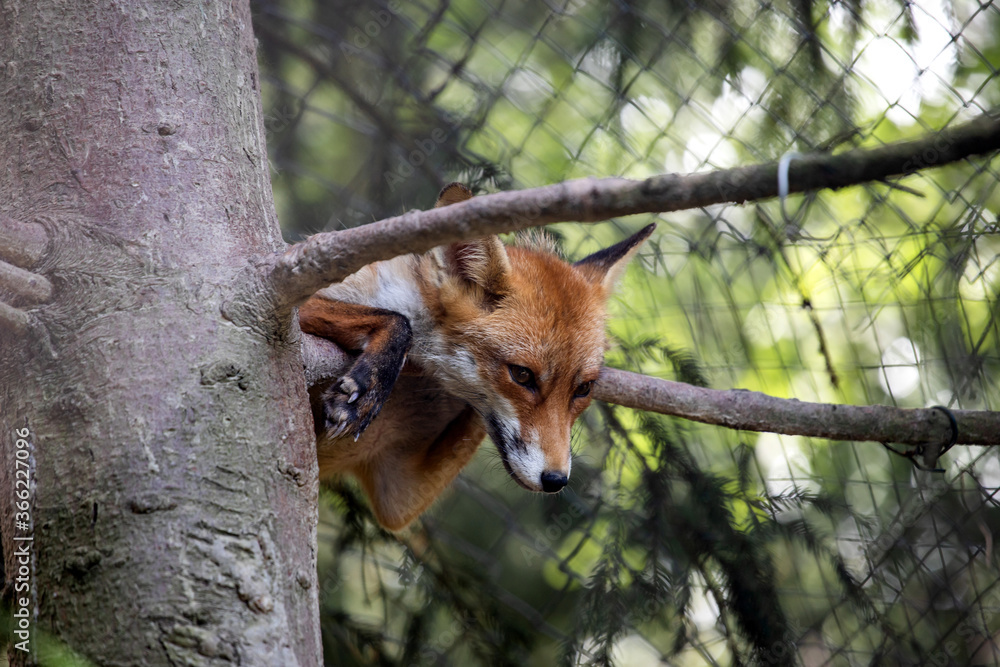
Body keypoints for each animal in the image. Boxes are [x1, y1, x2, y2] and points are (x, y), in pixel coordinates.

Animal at [299, 183, 653, 530]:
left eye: (583, 389)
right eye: (522, 375)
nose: (555, 480)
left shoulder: (398, 491)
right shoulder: (292, 304)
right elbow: (398, 323)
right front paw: (366, 389)